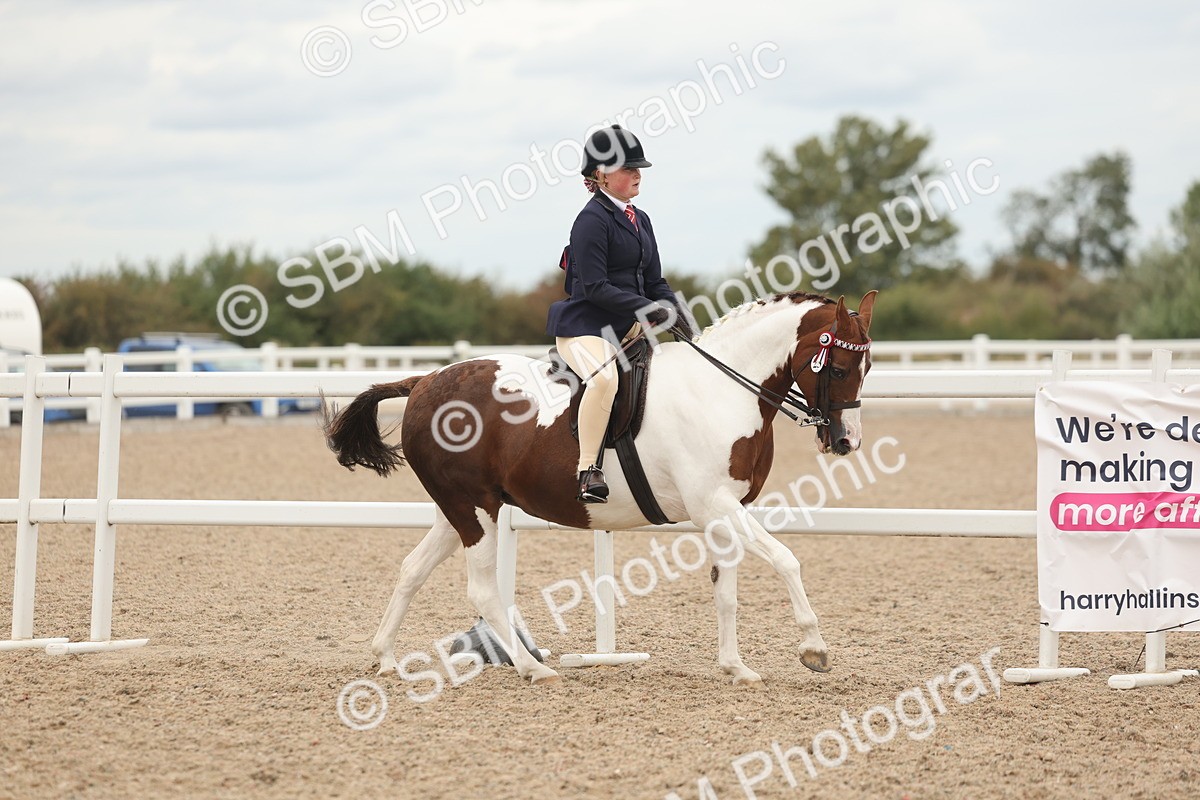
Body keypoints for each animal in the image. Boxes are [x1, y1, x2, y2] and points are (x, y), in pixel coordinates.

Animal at [322, 290, 877, 686]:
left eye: (868, 367)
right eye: (840, 367)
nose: (846, 441)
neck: (722, 390)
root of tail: (423, 382)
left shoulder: (726, 510)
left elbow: (727, 592)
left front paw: (735, 668)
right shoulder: (715, 505)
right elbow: (787, 560)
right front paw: (814, 649)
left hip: (459, 507)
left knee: (412, 570)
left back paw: (386, 658)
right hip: (474, 509)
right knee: (481, 589)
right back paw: (533, 667)